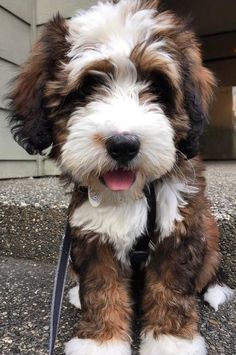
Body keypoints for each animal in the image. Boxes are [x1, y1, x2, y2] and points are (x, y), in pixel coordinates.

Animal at [8, 0, 233, 355]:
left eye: (156, 85)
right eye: (87, 88)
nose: (123, 144)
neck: (135, 193)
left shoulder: (178, 226)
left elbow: (170, 289)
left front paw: (170, 341)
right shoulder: (92, 232)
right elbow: (102, 290)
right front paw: (101, 342)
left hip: (208, 231)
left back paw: (216, 288)